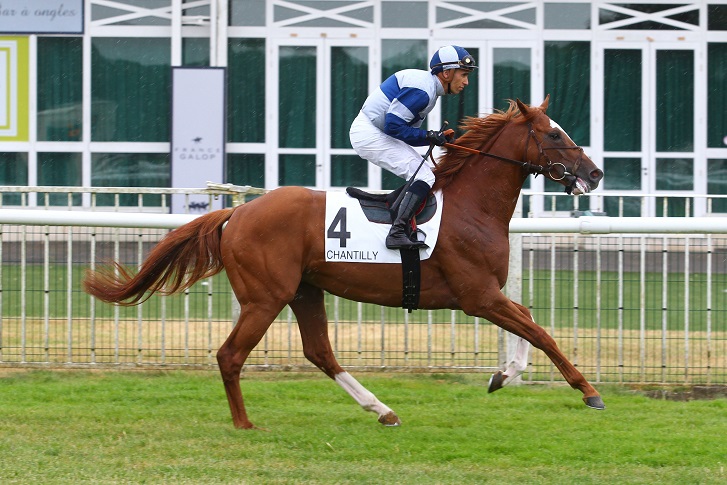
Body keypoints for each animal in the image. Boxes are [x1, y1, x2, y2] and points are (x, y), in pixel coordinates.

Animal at [84, 97, 608, 428]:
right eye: (554, 134)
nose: (595, 173)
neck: (471, 207)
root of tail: (237, 212)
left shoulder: (486, 296)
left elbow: (529, 325)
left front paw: (503, 376)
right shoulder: (477, 295)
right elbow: (539, 332)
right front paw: (587, 391)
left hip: (304, 291)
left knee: (320, 353)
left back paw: (383, 410)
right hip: (265, 297)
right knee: (231, 355)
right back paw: (244, 423)